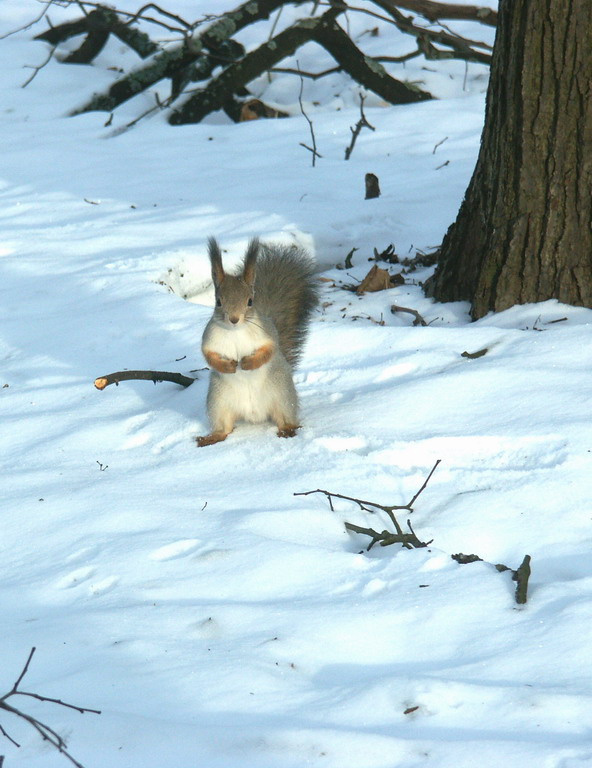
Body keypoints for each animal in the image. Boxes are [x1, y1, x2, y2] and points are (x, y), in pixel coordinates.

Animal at [196, 237, 318, 447]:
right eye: (218, 302)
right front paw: (228, 366)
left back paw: (288, 430)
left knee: (285, 419)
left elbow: (268, 350)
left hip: (282, 396)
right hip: (218, 402)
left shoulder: (267, 336)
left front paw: (248, 363)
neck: (235, 331)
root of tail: (255, 415)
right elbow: (209, 356)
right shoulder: (210, 339)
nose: (234, 319)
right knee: (224, 427)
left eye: (250, 301)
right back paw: (212, 437)